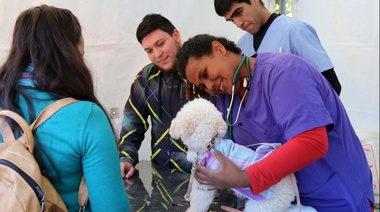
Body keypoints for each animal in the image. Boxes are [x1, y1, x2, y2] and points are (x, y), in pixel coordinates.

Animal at [170, 98, 318, 212]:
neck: (208, 145)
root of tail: (291, 187)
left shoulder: (205, 183)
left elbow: (199, 202)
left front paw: (192, 209)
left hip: (262, 206)